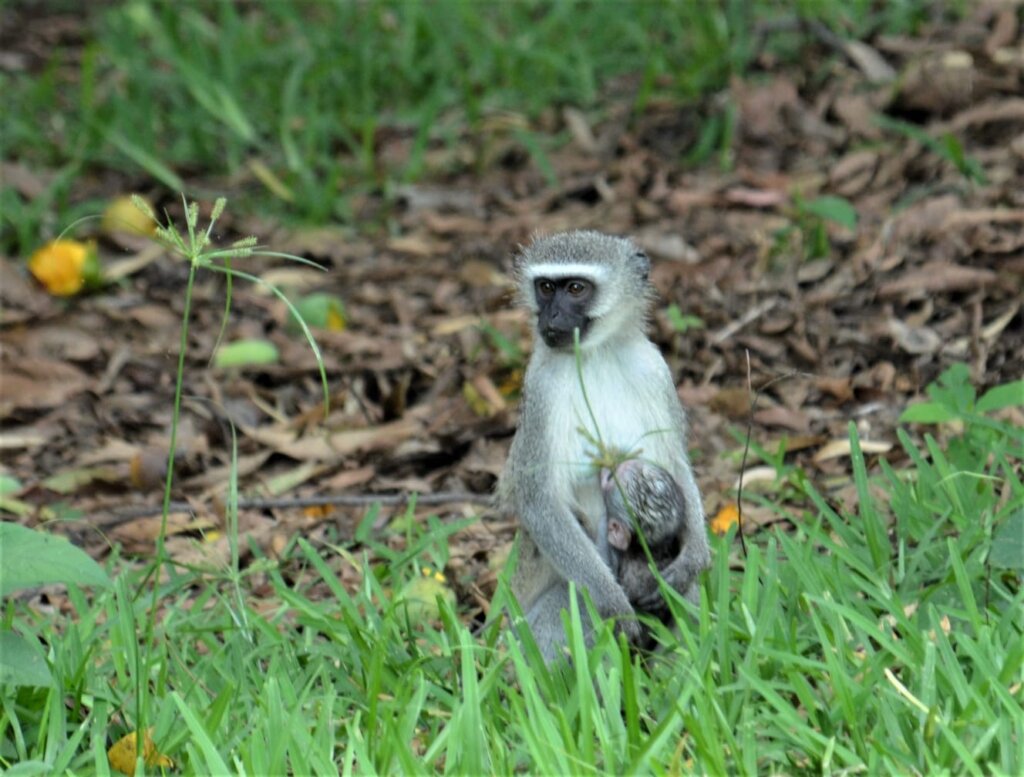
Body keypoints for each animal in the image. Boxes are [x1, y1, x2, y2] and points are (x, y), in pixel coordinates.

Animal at [499, 230, 710, 662]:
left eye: (576, 289)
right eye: (546, 288)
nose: (551, 319)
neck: (596, 353)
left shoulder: (655, 369)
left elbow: (676, 464)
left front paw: (695, 556)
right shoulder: (540, 388)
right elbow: (539, 502)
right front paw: (614, 603)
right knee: (571, 606)